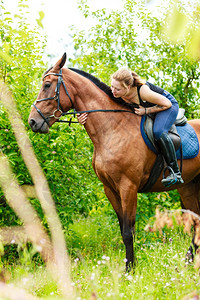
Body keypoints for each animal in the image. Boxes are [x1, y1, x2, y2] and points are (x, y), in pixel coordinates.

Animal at [28, 53, 200, 270]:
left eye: (48, 84)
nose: (32, 122)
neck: (112, 128)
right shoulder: (109, 188)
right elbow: (122, 229)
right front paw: (130, 266)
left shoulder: (128, 187)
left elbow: (128, 231)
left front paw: (129, 270)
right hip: (188, 186)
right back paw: (187, 262)